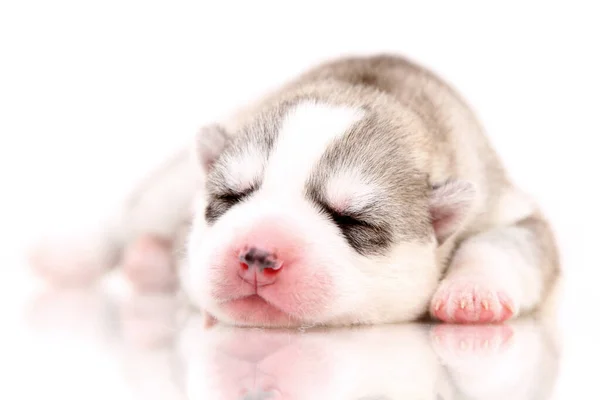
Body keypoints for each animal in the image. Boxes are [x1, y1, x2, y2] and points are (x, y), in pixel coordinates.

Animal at [30, 54, 560, 328]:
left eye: (352, 220)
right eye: (229, 197)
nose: (257, 255)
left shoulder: (502, 203)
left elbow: (507, 243)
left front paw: (472, 293)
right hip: (170, 183)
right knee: (131, 216)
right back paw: (80, 255)